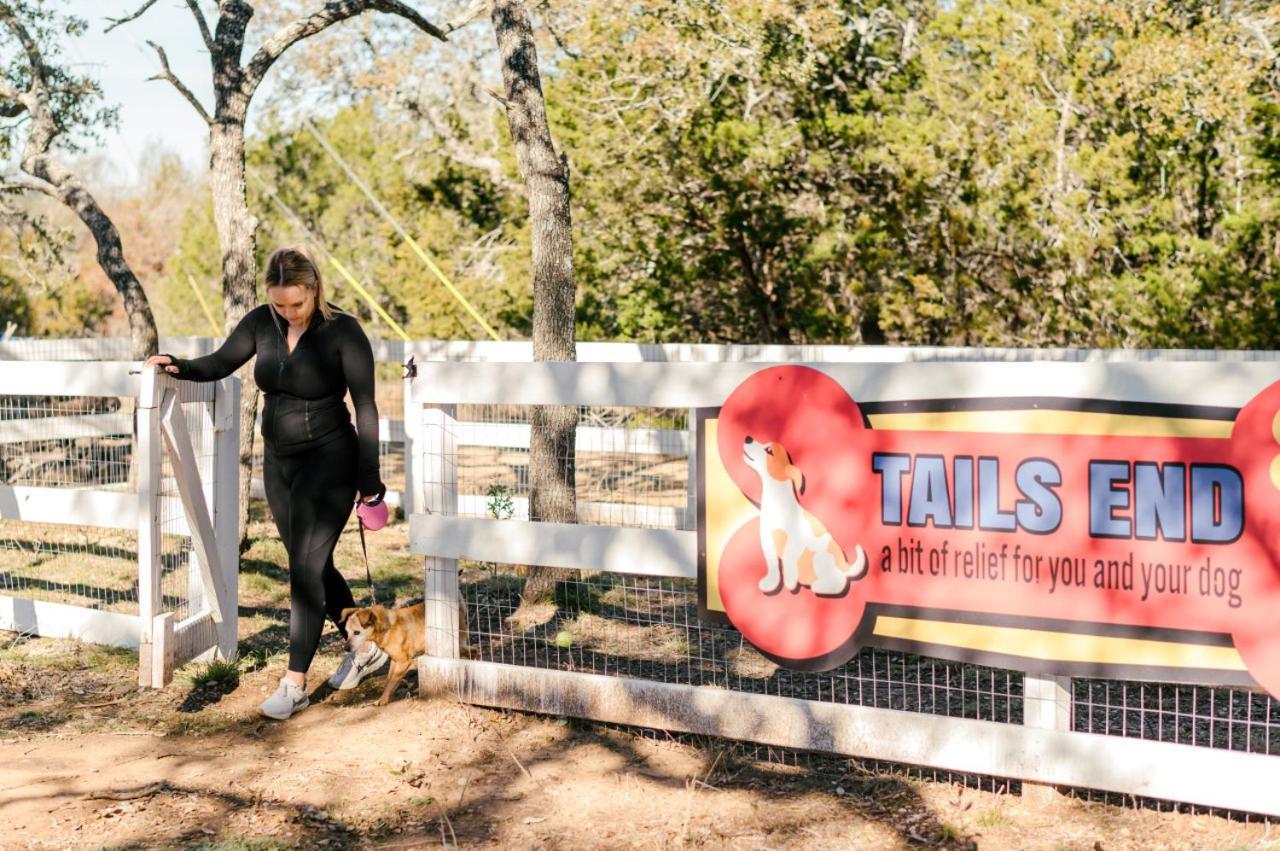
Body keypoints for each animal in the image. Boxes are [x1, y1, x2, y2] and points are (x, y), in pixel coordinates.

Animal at [337, 601, 468, 706]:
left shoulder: (403, 662)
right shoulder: (395, 661)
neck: (387, 627)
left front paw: (382, 700)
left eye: (357, 632)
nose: (346, 648)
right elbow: (389, 681)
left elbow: (391, 682)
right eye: (347, 632)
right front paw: (387, 696)